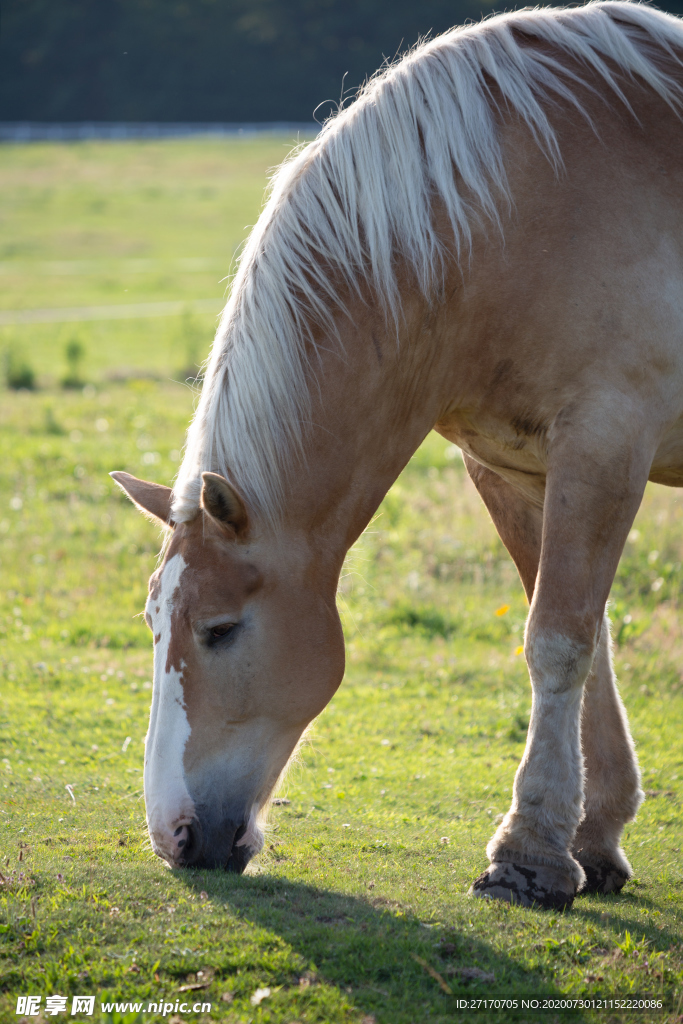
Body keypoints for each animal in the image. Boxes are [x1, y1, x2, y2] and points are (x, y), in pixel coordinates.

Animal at [114, 0, 683, 913]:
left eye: (219, 630)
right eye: (151, 623)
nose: (174, 835)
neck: (510, 214)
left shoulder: (603, 448)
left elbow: (557, 639)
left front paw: (528, 855)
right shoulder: (513, 470)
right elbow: (584, 637)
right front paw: (592, 837)